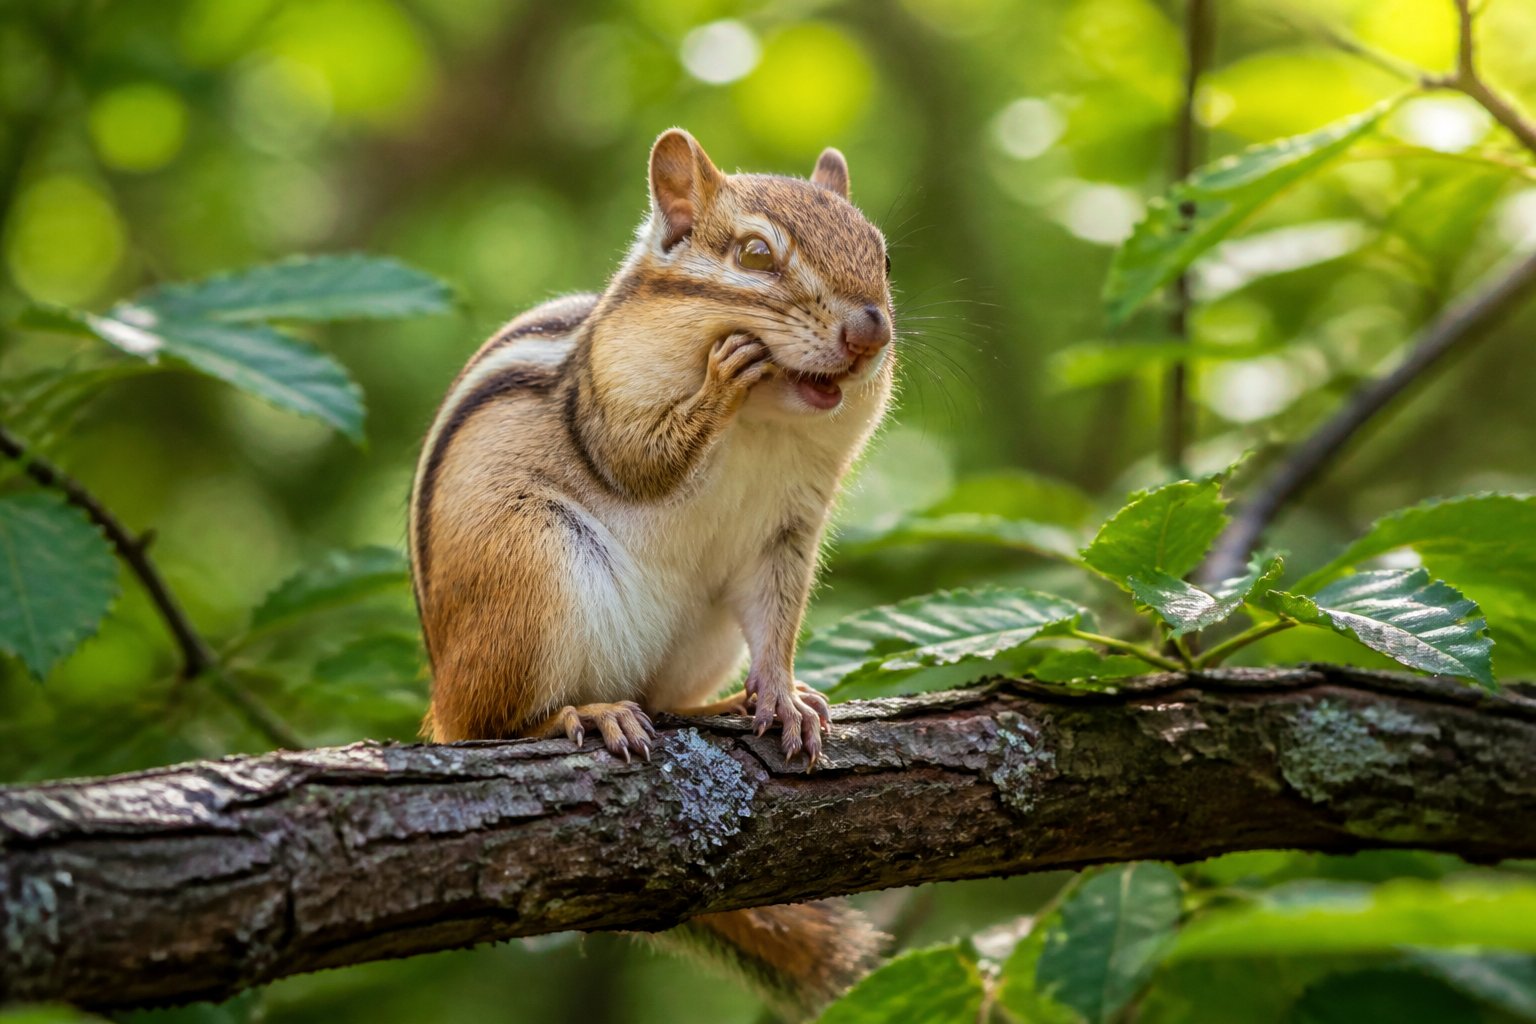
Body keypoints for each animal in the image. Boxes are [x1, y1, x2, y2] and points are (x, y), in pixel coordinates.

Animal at [408, 128, 894, 1018]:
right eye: (755, 254)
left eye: (880, 252)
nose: (870, 334)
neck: (766, 422)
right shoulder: (610, 408)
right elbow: (639, 460)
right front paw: (718, 380)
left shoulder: (788, 530)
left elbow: (776, 619)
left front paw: (783, 696)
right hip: (531, 574)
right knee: (490, 723)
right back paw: (584, 714)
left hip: (697, 636)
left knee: (664, 696)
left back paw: (713, 704)